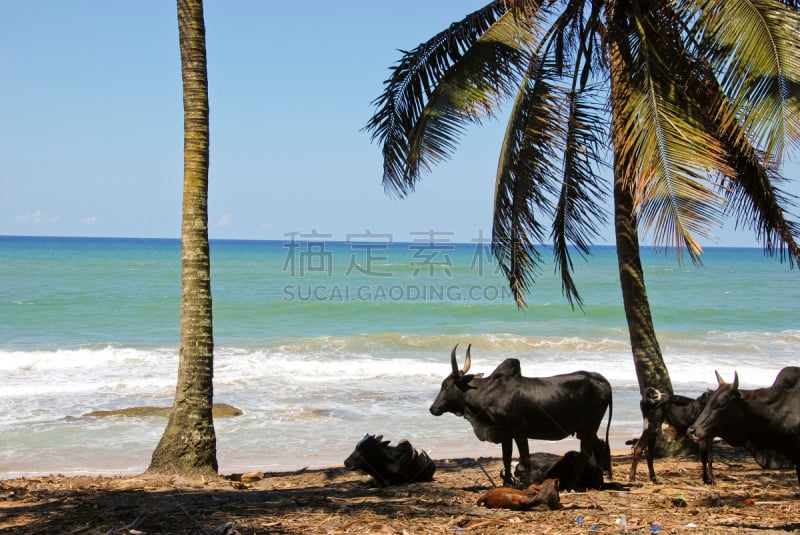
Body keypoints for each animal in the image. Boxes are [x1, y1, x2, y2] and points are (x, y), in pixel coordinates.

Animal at [432, 346, 612, 488]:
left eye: (445, 386)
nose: (433, 408)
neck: (489, 392)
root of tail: (601, 380)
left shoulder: (519, 431)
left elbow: (524, 460)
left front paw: (526, 484)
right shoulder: (505, 433)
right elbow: (506, 457)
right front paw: (507, 483)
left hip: (590, 426)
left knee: (585, 454)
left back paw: (573, 485)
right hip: (585, 430)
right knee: (598, 446)